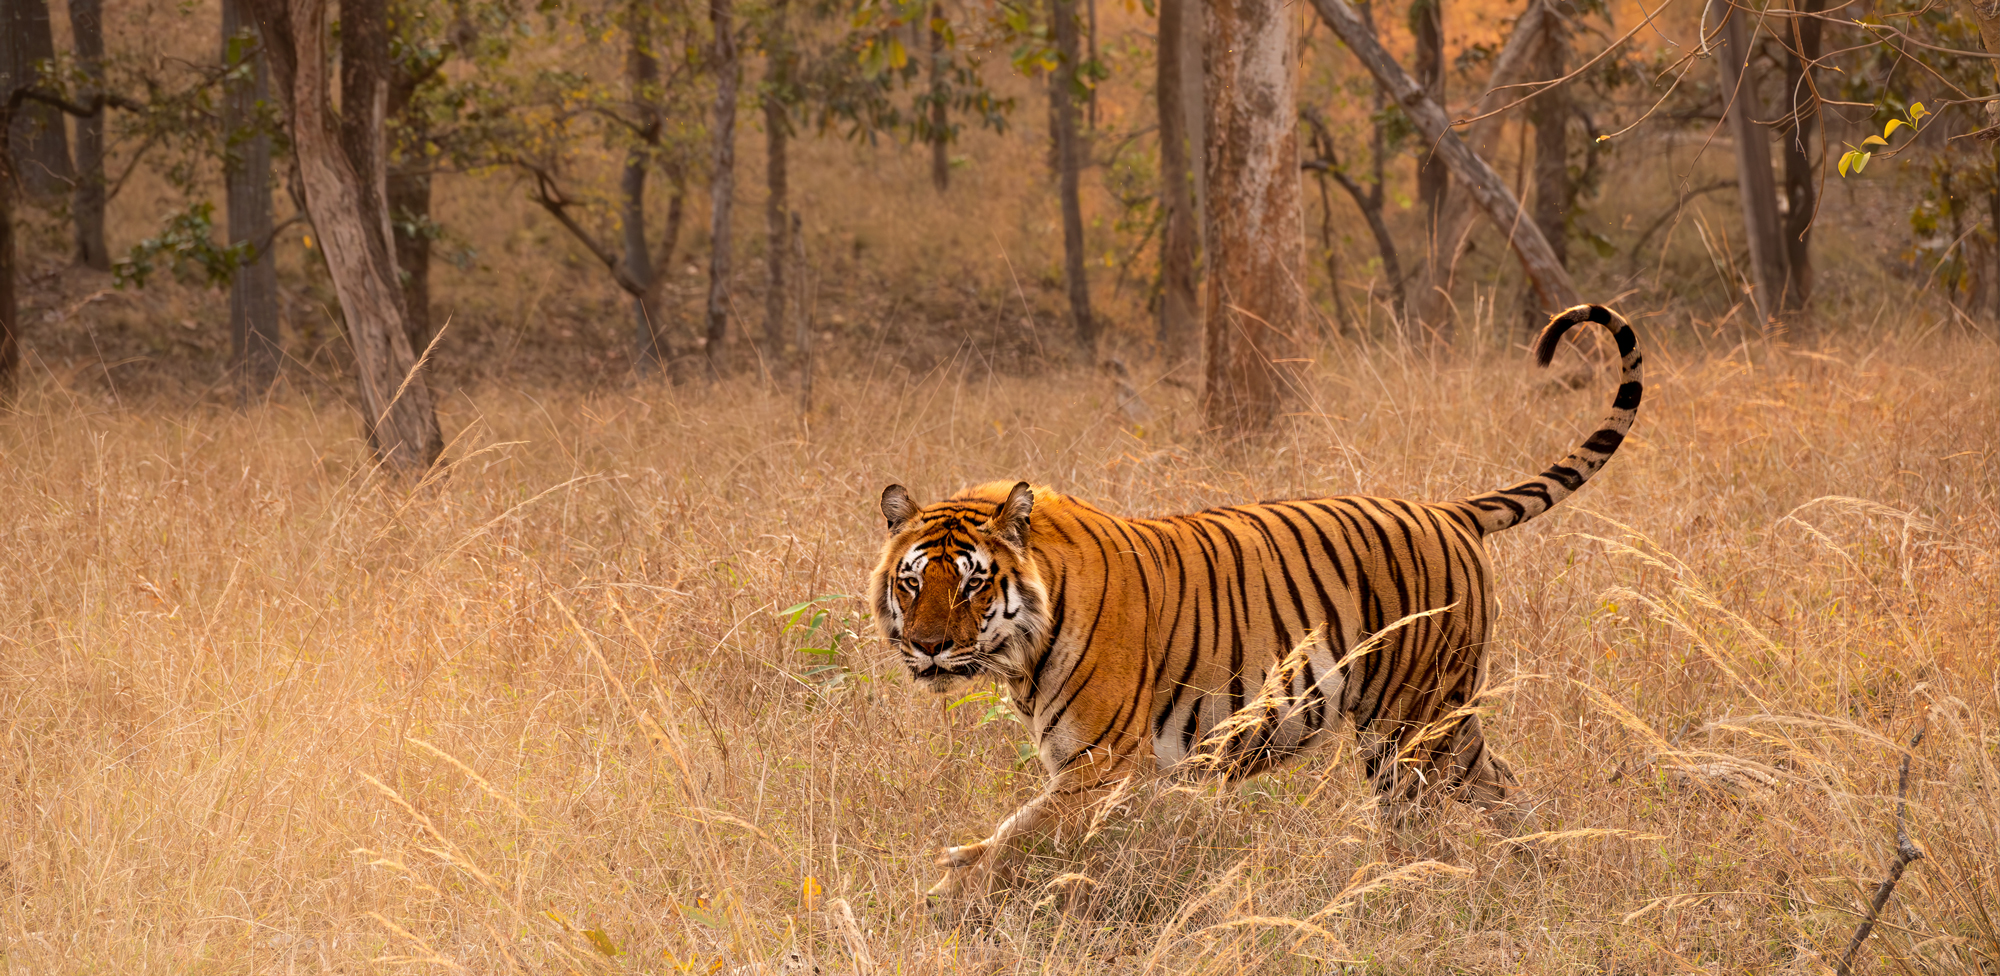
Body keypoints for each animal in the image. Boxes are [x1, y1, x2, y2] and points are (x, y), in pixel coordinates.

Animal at [868, 304, 1643, 899]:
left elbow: (1014, 839)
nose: (930, 647)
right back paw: (1538, 869)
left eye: (973, 581)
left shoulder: (1102, 768)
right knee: (1502, 785)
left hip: (1408, 725)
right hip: (1443, 719)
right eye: (913, 582)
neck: (1020, 651)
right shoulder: (1092, 772)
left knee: (1419, 825)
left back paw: (1406, 891)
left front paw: (946, 894)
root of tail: (1447, 510)